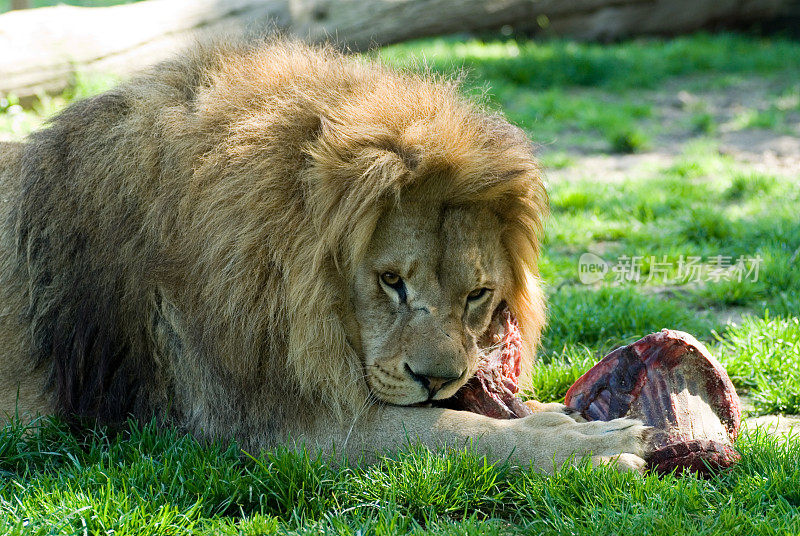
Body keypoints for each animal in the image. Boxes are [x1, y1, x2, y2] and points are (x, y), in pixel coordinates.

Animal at [0, 38, 648, 474]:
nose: (438, 380)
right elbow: (452, 431)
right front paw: (594, 447)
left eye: (478, 295)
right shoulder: (279, 427)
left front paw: (558, 415)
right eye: (391, 282)